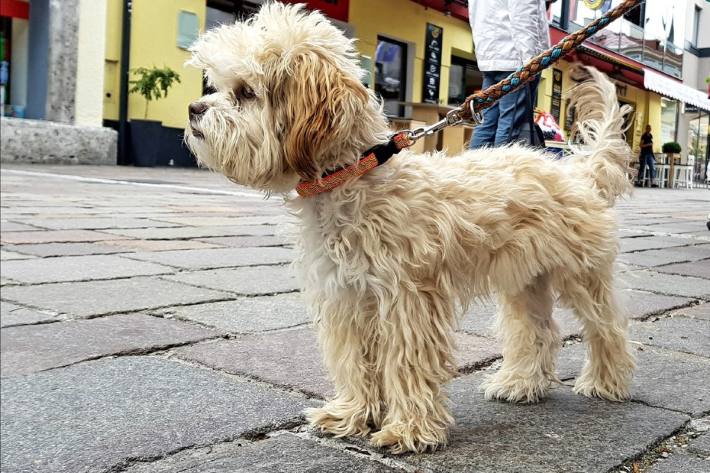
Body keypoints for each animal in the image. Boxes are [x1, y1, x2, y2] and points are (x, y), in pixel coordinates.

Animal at [186, 3, 636, 454]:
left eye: (246, 92)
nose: (193, 108)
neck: (352, 176)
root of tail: (579, 172)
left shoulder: (408, 301)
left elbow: (405, 363)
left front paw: (409, 429)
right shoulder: (346, 299)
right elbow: (355, 362)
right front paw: (352, 415)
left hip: (581, 276)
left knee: (606, 328)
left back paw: (605, 382)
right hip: (525, 280)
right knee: (540, 331)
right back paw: (521, 383)